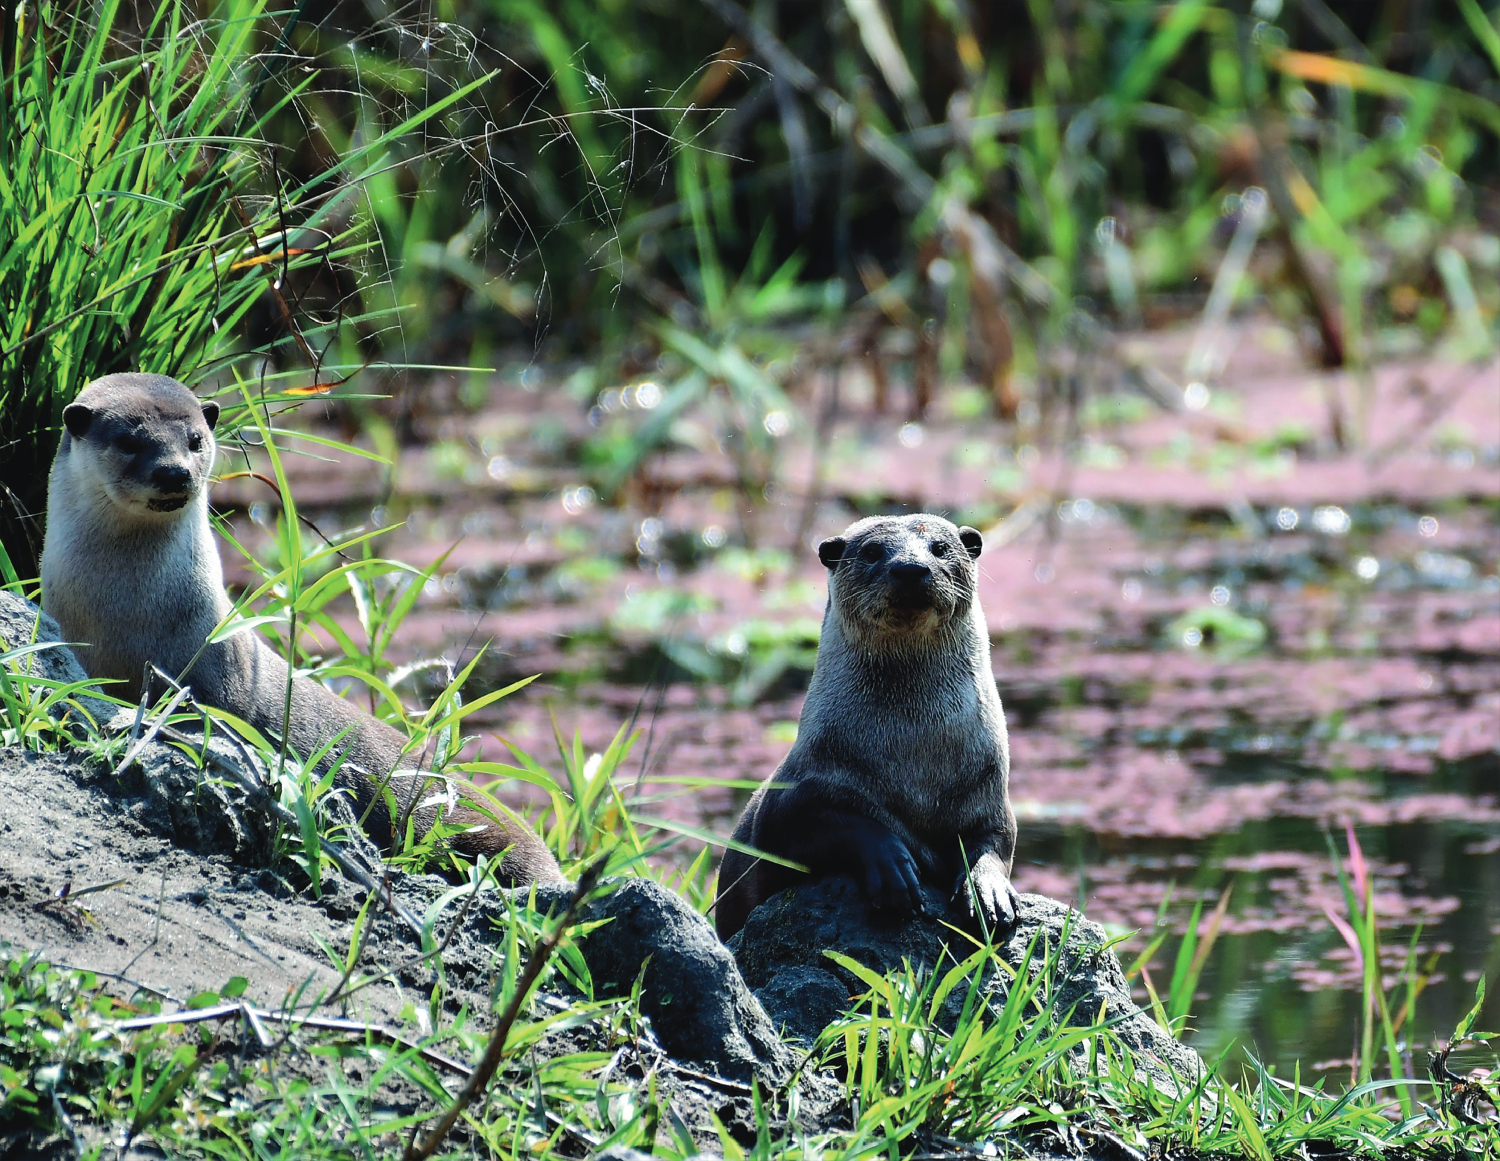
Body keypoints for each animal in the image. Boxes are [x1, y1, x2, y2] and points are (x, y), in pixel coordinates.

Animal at [714, 513, 1017, 941]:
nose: (910, 568)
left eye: (940, 548)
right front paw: (891, 868)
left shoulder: (989, 791)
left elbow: (995, 842)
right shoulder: (793, 795)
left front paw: (987, 891)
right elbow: (837, 823)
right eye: (873, 551)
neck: (915, 759)